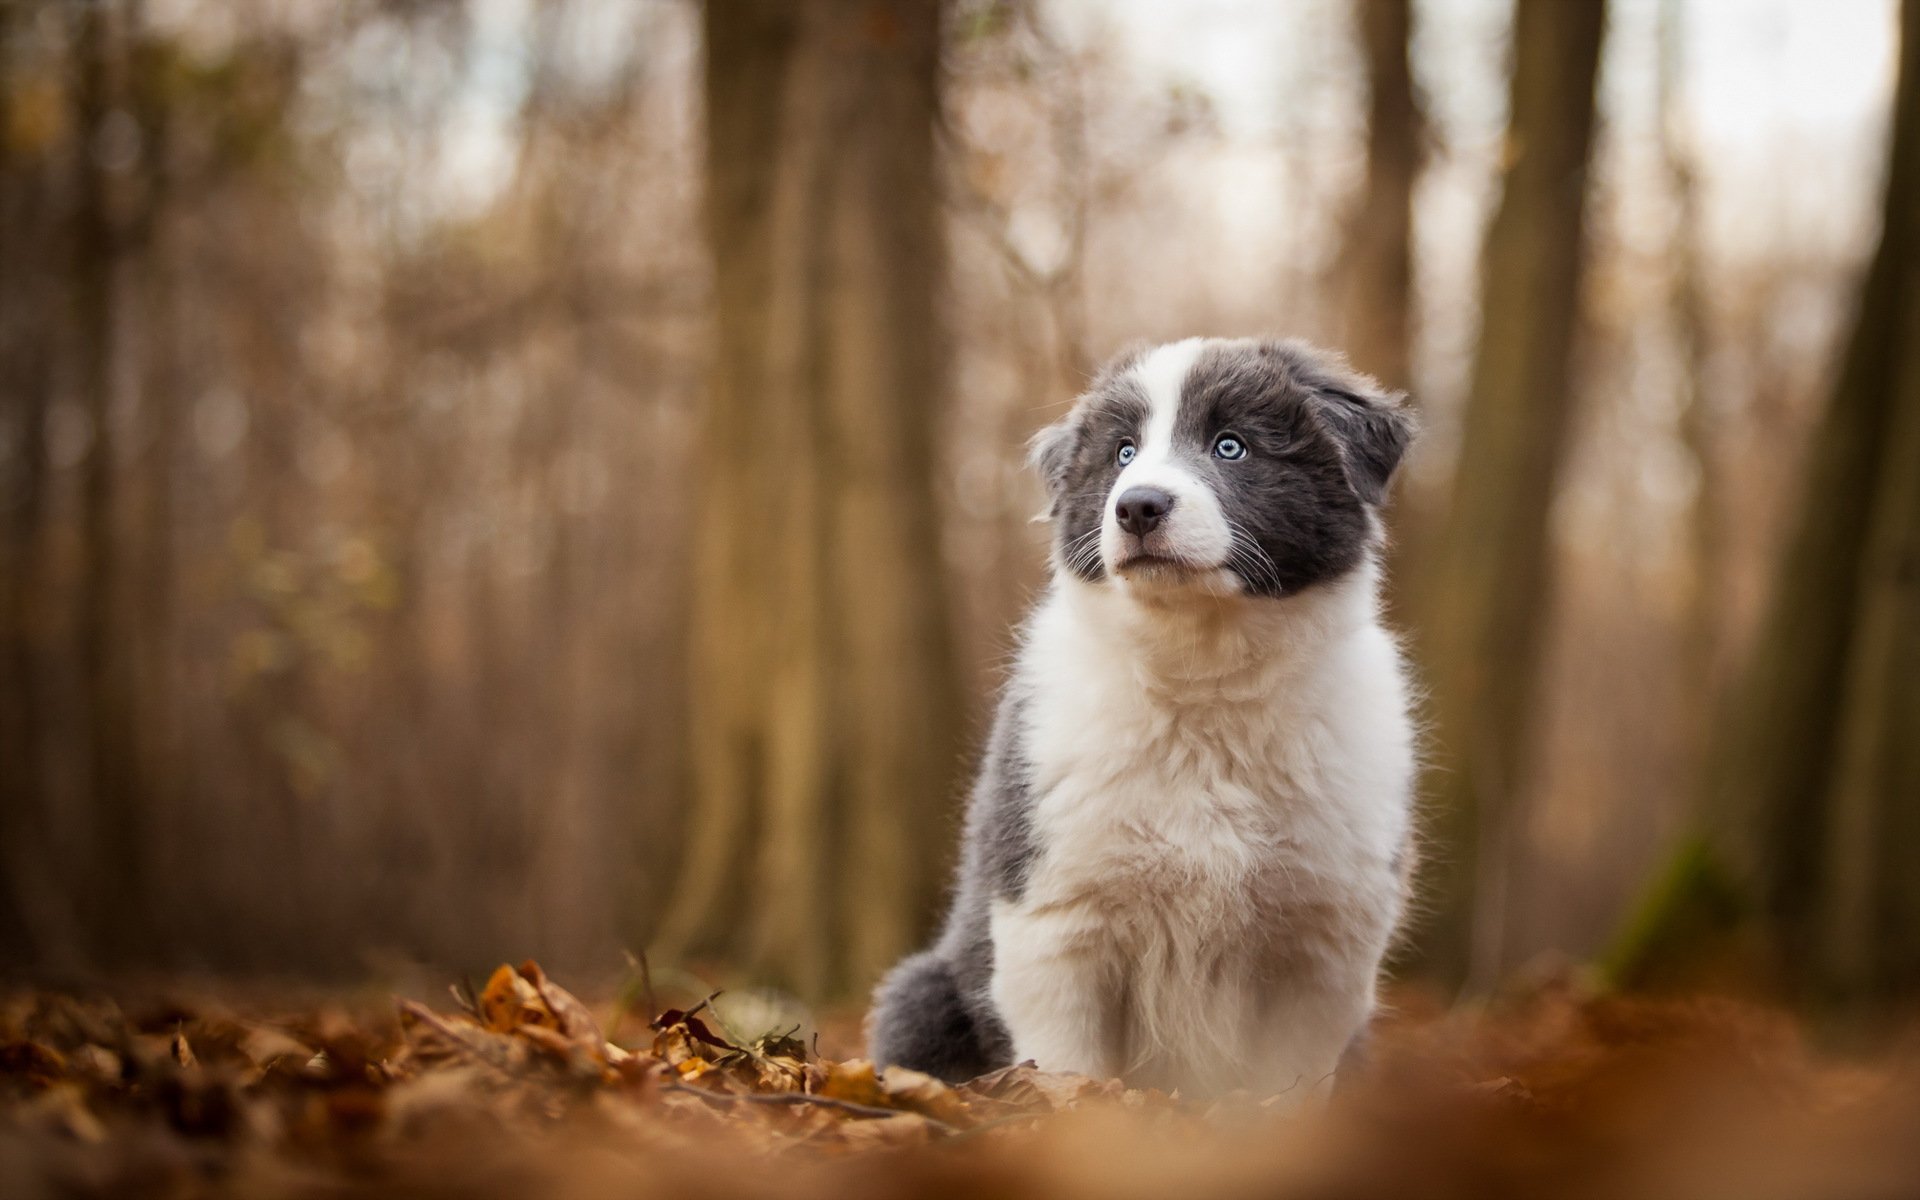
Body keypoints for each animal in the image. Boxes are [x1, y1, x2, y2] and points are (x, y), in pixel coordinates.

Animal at [871, 334, 1428, 1098]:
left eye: (1231, 446)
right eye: (1124, 453)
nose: (1137, 507)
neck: (1203, 682)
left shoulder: (1323, 935)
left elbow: (1287, 1083)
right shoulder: (1055, 919)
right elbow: (1065, 1067)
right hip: (922, 992)